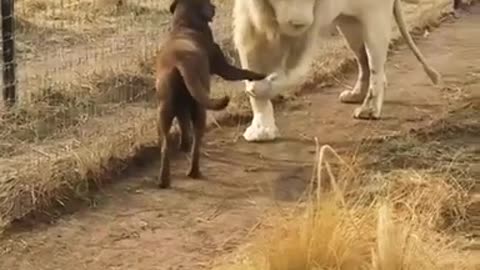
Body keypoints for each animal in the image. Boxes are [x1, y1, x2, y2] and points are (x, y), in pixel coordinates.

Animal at [155, 0, 268, 189]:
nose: (214, 7)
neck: (184, 24)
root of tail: (180, 62)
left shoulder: (181, 109)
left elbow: (183, 126)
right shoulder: (224, 68)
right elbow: (244, 71)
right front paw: (261, 75)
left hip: (165, 112)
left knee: (166, 146)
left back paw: (164, 179)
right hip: (200, 109)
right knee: (196, 144)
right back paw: (194, 172)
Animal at [233, 0, 442, 142]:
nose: (298, 22)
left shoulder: (309, 28)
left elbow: (293, 73)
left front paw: (258, 88)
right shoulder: (249, 26)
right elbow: (252, 67)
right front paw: (261, 130)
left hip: (375, 18)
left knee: (375, 63)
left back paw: (369, 109)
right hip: (350, 25)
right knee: (364, 62)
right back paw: (357, 95)